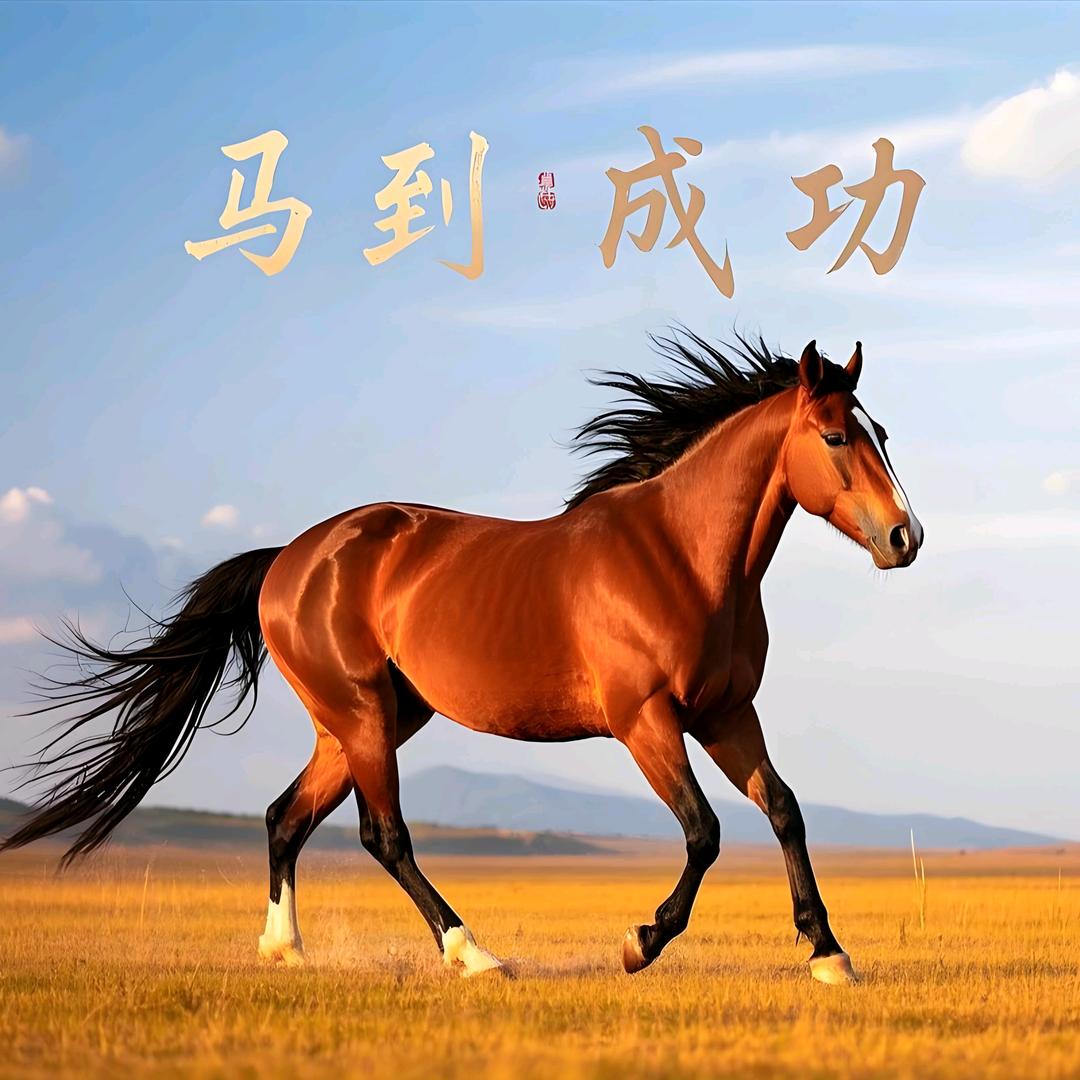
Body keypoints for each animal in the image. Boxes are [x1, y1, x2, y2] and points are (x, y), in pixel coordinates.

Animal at [3, 330, 922, 985]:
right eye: (836, 437)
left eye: (882, 431)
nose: (905, 537)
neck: (681, 558)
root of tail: (289, 559)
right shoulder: (646, 722)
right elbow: (704, 833)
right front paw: (640, 942)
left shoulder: (727, 714)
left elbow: (785, 811)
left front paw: (829, 955)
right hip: (364, 717)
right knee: (383, 834)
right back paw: (473, 954)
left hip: (364, 721)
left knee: (284, 817)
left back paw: (286, 951)